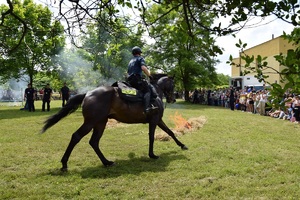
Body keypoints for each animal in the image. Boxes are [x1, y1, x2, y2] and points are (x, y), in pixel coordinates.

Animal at [41, 74, 188, 171]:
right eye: (173, 85)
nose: (173, 99)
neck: (155, 92)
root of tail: (88, 94)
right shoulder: (154, 120)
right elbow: (152, 137)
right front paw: (152, 155)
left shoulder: (158, 120)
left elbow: (170, 132)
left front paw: (182, 145)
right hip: (91, 122)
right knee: (76, 137)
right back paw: (64, 163)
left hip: (100, 123)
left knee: (94, 142)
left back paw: (107, 162)